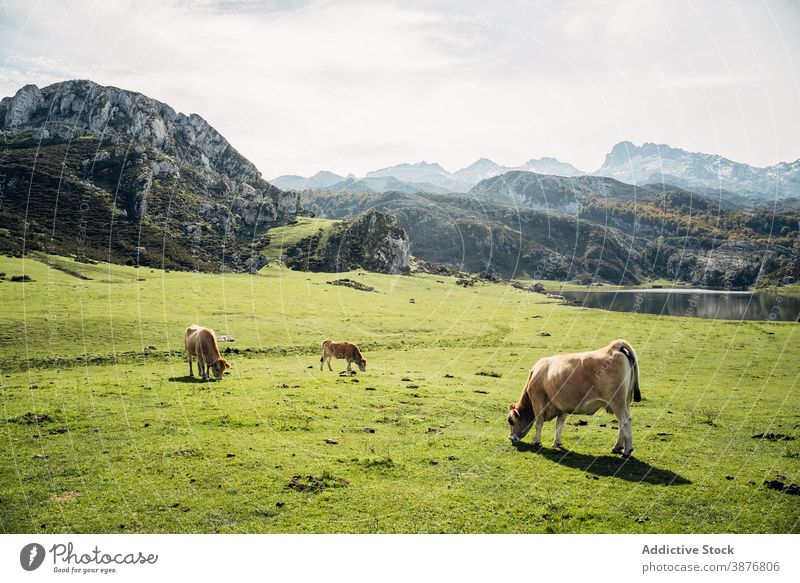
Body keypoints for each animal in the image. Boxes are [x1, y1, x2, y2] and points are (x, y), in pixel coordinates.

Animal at [506, 340, 644, 458]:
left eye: (510, 420)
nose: (510, 437)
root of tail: (613, 347)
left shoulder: (538, 401)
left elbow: (539, 422)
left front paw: (536, 442)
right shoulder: (562, 406)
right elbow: (559, 424)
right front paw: (557, 443)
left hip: (617, 401)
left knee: (625, 420)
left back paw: (627, 450)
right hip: (625, 401)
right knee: (622, 422)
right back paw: (618, 447)